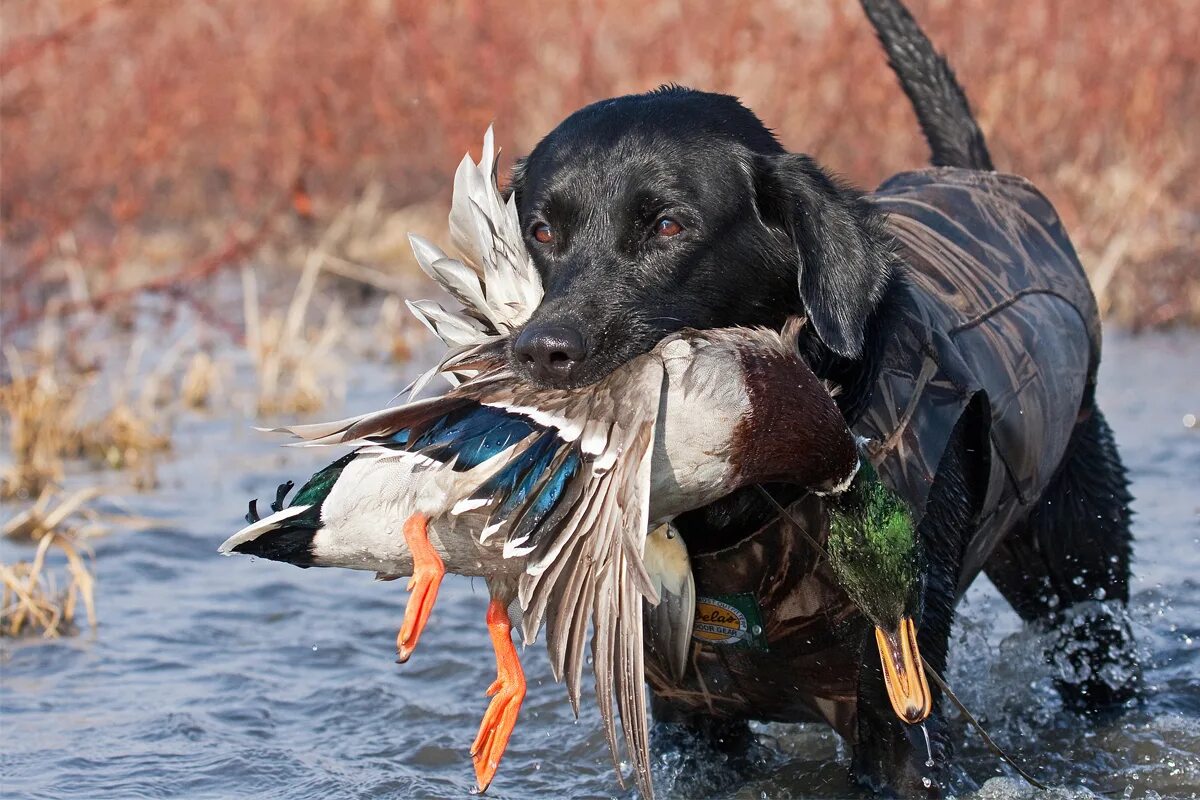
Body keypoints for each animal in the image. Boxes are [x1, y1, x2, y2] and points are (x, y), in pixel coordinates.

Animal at [504, 0, 1132, 791]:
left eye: (668, 226)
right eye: (541, 229)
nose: (543, 351)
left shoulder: (895, 703)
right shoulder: (690, 712)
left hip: (1081, 580)